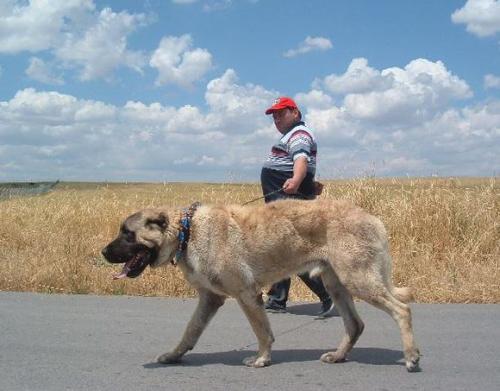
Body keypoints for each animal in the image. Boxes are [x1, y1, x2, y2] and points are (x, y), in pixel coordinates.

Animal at [102, 201, 422, 372]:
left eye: (127, 234)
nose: (103, 253)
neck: (187, 231)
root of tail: (372, 218)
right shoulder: (210, 299)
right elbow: (190, 332)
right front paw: (174, 356)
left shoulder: (247, 295)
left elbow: (262, 331)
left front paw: (262, 359)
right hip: (337, 284)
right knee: (355, 324)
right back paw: (339, 356)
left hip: (358, 280)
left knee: (402, 310)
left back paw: (411, 357)